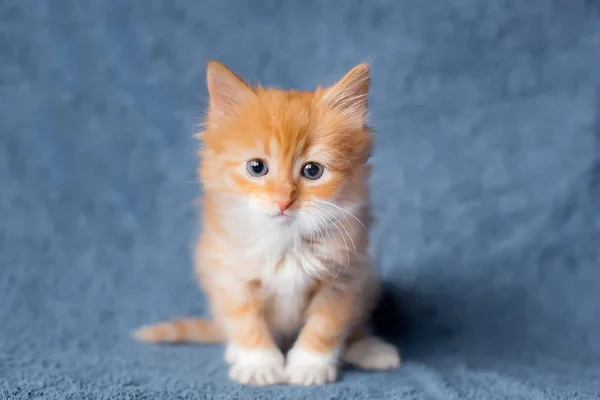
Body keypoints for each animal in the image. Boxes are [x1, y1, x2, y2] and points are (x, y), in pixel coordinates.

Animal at [134, 61, 400, 384]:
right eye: (257, 167)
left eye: (312, 171)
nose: (283, 201)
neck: (286, 242)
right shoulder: (227, 272)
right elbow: (244, 320)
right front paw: (258, 364)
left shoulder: (345, 275)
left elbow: (326, 324)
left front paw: (309, 365)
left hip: (369, 281)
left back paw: (370, 349)